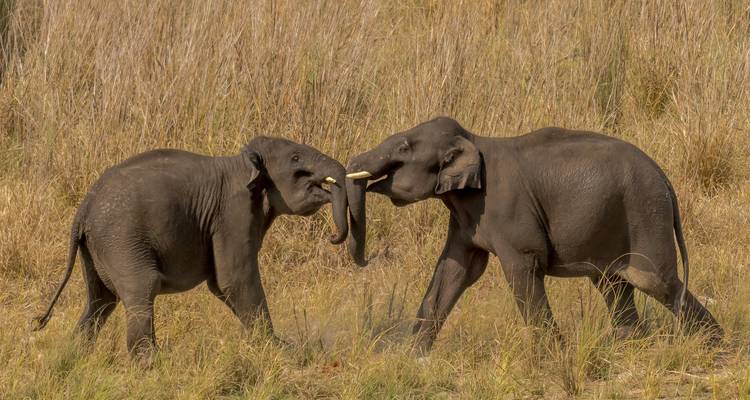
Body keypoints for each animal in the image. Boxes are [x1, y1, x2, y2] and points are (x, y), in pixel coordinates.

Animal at [34, 136, 348, 361]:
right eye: (296, 159)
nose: (333, 237)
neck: (242, 163)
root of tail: (83, 208)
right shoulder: (233, 213)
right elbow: (233, 280)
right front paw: (280, 351)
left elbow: (222, 285)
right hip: (121, 240)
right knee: (141, 287)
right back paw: (152, 363)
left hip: (97, 248)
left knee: (100, 300)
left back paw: (75, 358)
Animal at [345, 117, 722, 354]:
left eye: (404, 149)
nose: (366, 257)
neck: (472, 138)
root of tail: (665, 179)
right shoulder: (467, 219)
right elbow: (455, 272)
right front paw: (412, 357)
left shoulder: (507, 212)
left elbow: (521, 270)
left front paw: (551, 357)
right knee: (613, 285)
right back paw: (631, 347)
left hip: (645, 213)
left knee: (656, 281)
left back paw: (714, 344)